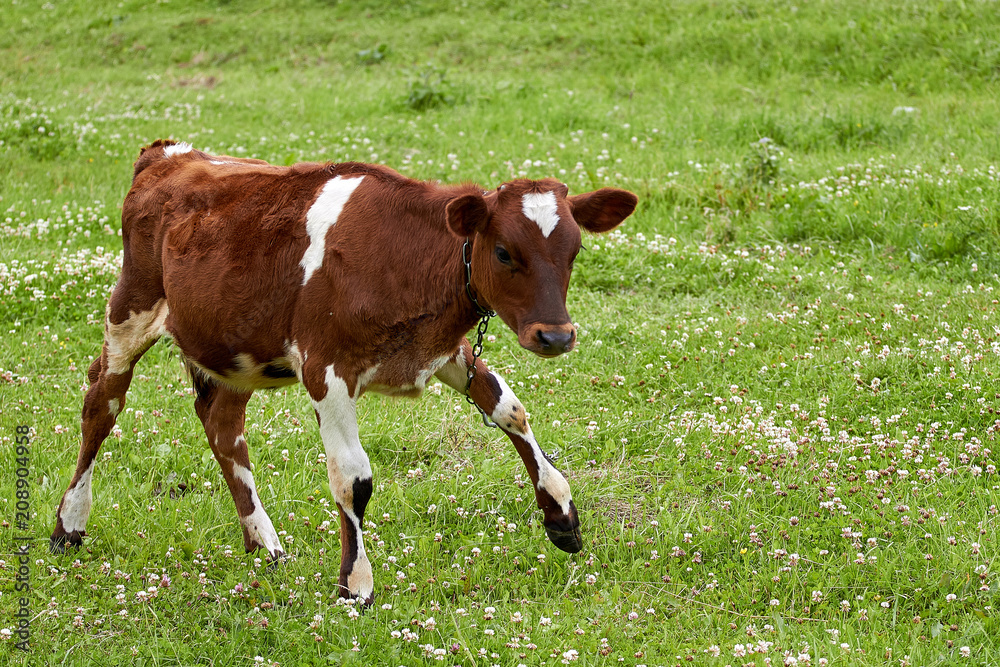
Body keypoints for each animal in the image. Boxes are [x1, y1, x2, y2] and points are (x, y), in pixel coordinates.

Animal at [50, 141, 636, 604]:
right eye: (504, 252)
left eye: (574, 251)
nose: (555, 336)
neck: (403, 254)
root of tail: (169, 154)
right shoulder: (326, 369)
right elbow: (352, 478)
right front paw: (356, 583)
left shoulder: (444, 350)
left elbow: (510, 410)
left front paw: (561, 513)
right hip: (130, 310)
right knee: (101, 404)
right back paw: (68, 524)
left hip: (233, 351)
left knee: (222, 426)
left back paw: (263, 543)